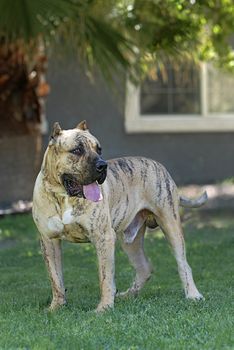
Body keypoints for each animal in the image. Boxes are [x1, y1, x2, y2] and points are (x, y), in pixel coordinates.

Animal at [32, 121, 207, 312]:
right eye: (77, 150)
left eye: (99, 149)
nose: (102, 166)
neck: (63, 196)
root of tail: (158, 165)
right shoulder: (49, 241)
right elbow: (55, 278)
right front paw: (56, 307)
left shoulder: (103, 238)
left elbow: (105, 277)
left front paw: (104, 308)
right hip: (129, 239)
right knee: (144, 267)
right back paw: (128, 295)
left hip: (170, 225)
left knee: (183, 264)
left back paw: (193, 295)